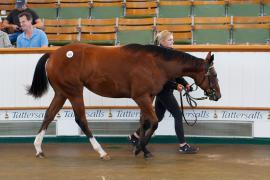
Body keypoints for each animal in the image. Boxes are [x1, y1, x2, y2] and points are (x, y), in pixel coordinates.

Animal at [28, 43, 221, 160]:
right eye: (214, 75)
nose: (217, 95)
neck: (154, 64)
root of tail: (53, 54)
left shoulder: (148, 97)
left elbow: (144, 122)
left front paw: (144, 149)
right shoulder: (141, 97)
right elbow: (154, 122)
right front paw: (139, 148)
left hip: (61, 93)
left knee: (49, 115)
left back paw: (38, 148)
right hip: (74, 92)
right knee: (81, 120)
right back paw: (102, 152)